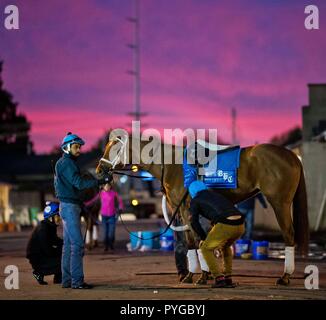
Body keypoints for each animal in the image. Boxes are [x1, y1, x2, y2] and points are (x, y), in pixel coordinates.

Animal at [95, 133, 310, 284]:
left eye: (114, 147)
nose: (99, 170)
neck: (172, 165)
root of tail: (291, 155)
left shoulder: (186, 210)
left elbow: (193, 241)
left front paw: (194, 276)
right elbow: (197, 241)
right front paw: (206, 275)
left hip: (280, 203)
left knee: (289, 234)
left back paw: (285, 276)